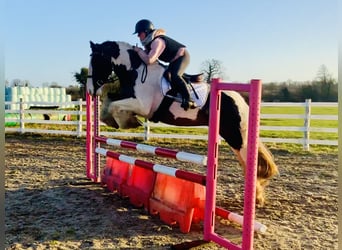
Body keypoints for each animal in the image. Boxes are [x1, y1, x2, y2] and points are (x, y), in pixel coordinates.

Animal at [85, 40, 278, 206]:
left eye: (96, 61)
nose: (90, 90)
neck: (136, 72)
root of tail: (241, 100)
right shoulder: (127, 97)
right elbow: (109, 102)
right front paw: (114, 120)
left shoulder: (141, 105)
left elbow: (115, 105)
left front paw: (127, 122)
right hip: (231, 137)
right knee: (246, 164)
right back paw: (256, 197)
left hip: (237, 137)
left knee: (250, 163)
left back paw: (256, 198)